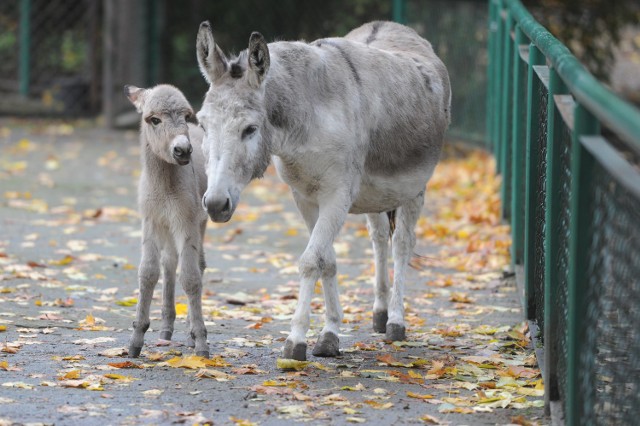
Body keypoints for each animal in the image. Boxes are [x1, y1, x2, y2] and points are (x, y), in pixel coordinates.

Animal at [122, 85, 208, 358]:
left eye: (187, 116)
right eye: (154, 120)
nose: (183, 151)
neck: (166, 186)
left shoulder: (187, 221)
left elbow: (191, 277)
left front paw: (201, 343)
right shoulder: (152, 220)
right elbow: (149, 272)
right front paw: (136, 340)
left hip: (198, 222)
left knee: (198, 265)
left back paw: (191, 334)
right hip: (168, 227)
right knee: (169, 262)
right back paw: (166, 329)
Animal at [195, 20, 450, 360]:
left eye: (249, 129)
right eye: (202, 125)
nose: (215, 204)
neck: (306, 118)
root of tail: (393, 26)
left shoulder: (337, 195)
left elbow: (310, 261)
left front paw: (296, 340)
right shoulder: (304, 196)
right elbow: (326, 260)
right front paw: (330, 334)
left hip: (415, 189)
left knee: (402, 245)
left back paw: (396, 322)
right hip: (376, 195)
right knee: (380, 238)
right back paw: (380, 314)